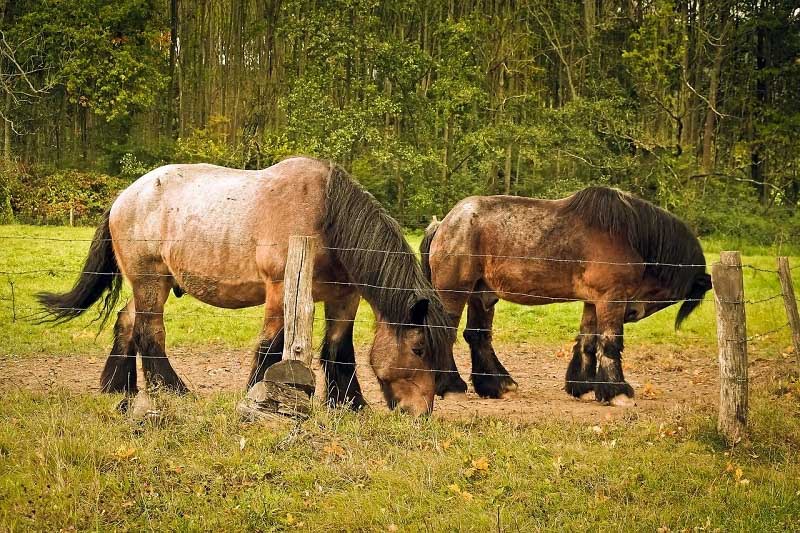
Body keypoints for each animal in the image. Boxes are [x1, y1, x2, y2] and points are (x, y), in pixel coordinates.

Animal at [37, 156, 467, 415]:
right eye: (419, 348)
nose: (419, 413)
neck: (326, 215)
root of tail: (124, 197)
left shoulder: (344, 298)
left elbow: (338, 350)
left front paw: (349, 404)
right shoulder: (280, 291)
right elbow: (269, 346)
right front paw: (257, 395)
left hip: (150, 283)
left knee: (128, 323)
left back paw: (120, 388)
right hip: (151, 280)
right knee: (149, 332)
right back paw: (173, 390)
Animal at [420, 187, 712, 405]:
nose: (632, 312)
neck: (627, 237)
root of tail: (443, 224)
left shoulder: (594, 301)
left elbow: (588, 342)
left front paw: (583, 386)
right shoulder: (612, 298)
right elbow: (610, 342)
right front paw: (617, 391)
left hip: (482, 294)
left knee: (478, 336)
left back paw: (497, 385)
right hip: (455, 291)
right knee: (446, 333)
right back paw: (451, 385)